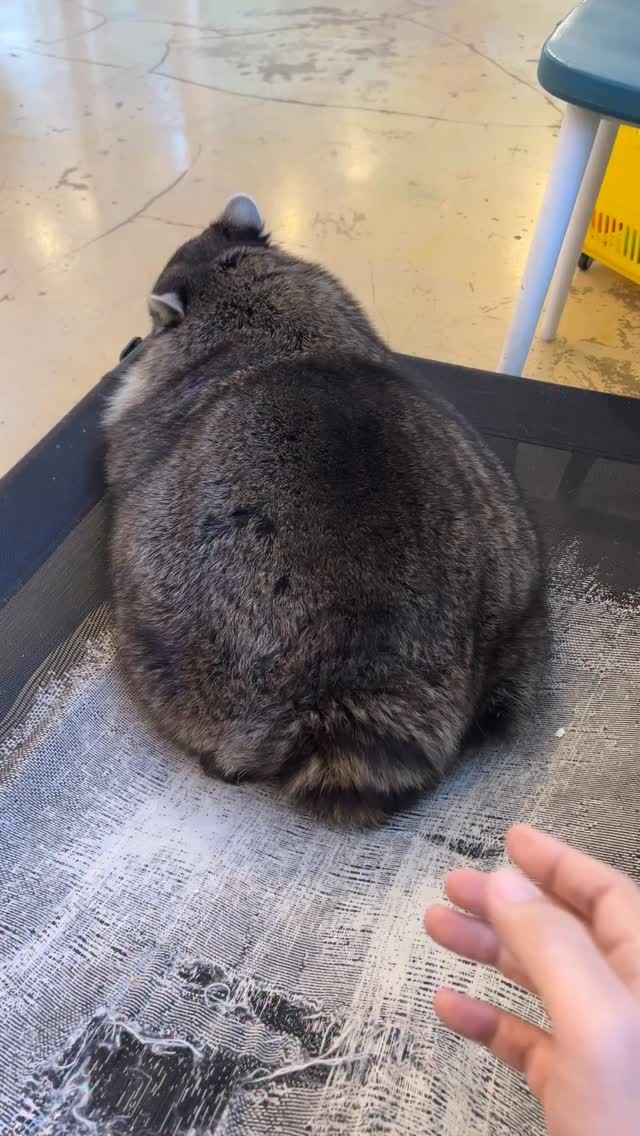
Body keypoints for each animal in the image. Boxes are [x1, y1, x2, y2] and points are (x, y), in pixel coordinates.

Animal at [105, 194, 548, 826]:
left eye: (152, 322)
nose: (138, 339)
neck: (267, 306)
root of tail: (366, 671)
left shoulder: (146, 418)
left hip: (178, 629)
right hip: (516, 591)